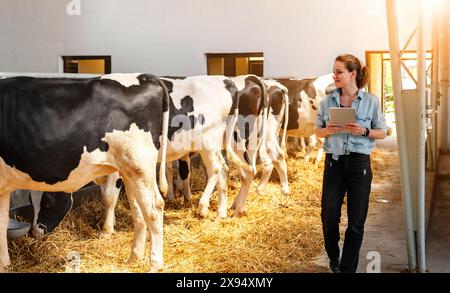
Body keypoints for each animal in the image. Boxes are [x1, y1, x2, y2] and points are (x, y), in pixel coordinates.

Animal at [0, 73, 171, 272]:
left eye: (48, 203)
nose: (35, 233)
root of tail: (141, 77)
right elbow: (2, 223)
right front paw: (4, 265)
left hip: (140, 166)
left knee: (153, 209)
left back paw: (155, 265)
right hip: (130, 171)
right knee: (138, 210)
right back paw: (134, 258)